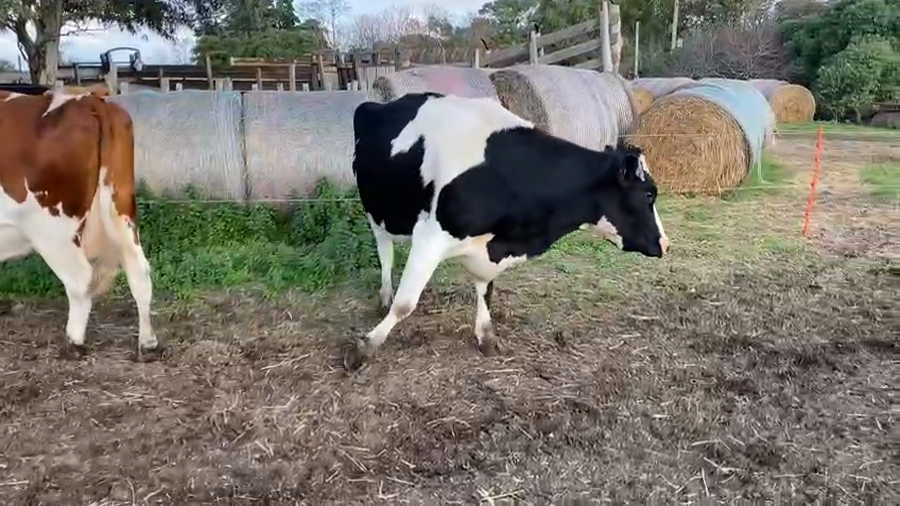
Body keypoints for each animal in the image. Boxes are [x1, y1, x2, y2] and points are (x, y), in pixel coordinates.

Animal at [0, 89, 158, 358]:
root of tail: (88, 100)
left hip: (52, 229)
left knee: (80, 277)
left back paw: (73, 341)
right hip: (120, 209)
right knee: (138, 269)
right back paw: (147, 343)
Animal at [349, 92, 669, 366]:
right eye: (648, 194)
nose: (665, 243)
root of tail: (377, 104)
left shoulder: (488, 247)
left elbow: (485, 289)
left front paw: (486, 336)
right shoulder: (430, 236)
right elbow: (405, 304)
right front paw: (365, 346)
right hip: (375, 211)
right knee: (385, 254)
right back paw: (384, 296)